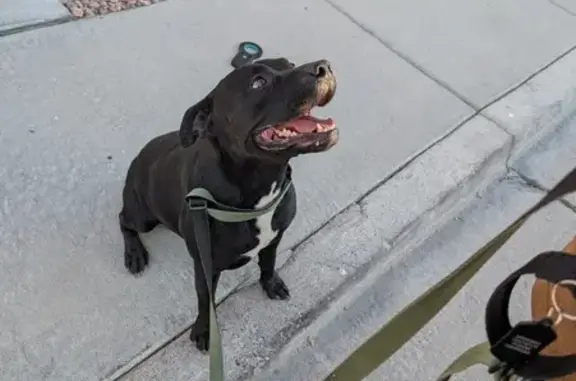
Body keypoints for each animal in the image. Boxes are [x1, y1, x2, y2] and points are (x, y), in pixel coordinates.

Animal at [120, 56, 338, 350]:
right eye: (258, 82)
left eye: (290, 64)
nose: (323, 66)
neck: (259, 188)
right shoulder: (206, 267)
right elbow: (205, 301)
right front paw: (204, 330)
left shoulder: (274, 238)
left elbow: (268, 263)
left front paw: (271, 283)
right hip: (143, 216)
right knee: (124, 220)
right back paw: (134, 253)